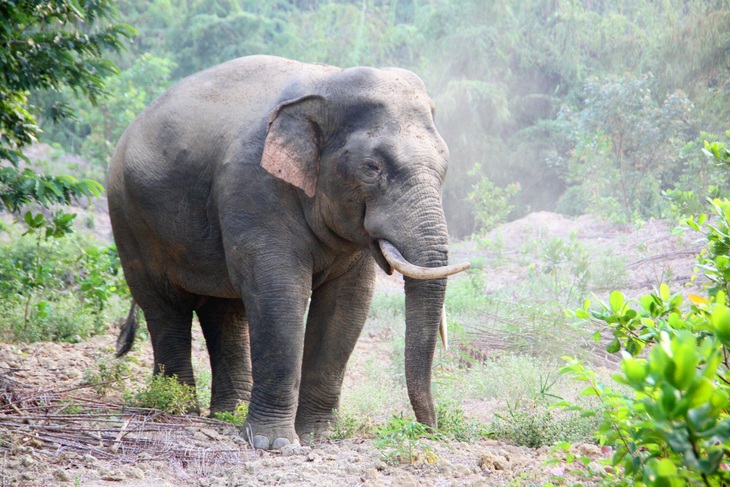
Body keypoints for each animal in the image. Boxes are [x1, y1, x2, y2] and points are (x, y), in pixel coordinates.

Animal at [111, 55, 470, 452]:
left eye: (444, 166)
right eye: (371, 168)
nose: (429, 429)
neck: (327, 84)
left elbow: (348, 304)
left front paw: (319, 436)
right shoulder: (254, 186)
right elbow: (279, 296)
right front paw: (274, 443)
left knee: (224, 311)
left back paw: (229, 414)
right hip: (128, 219)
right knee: (165, 307)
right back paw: (177, 408)